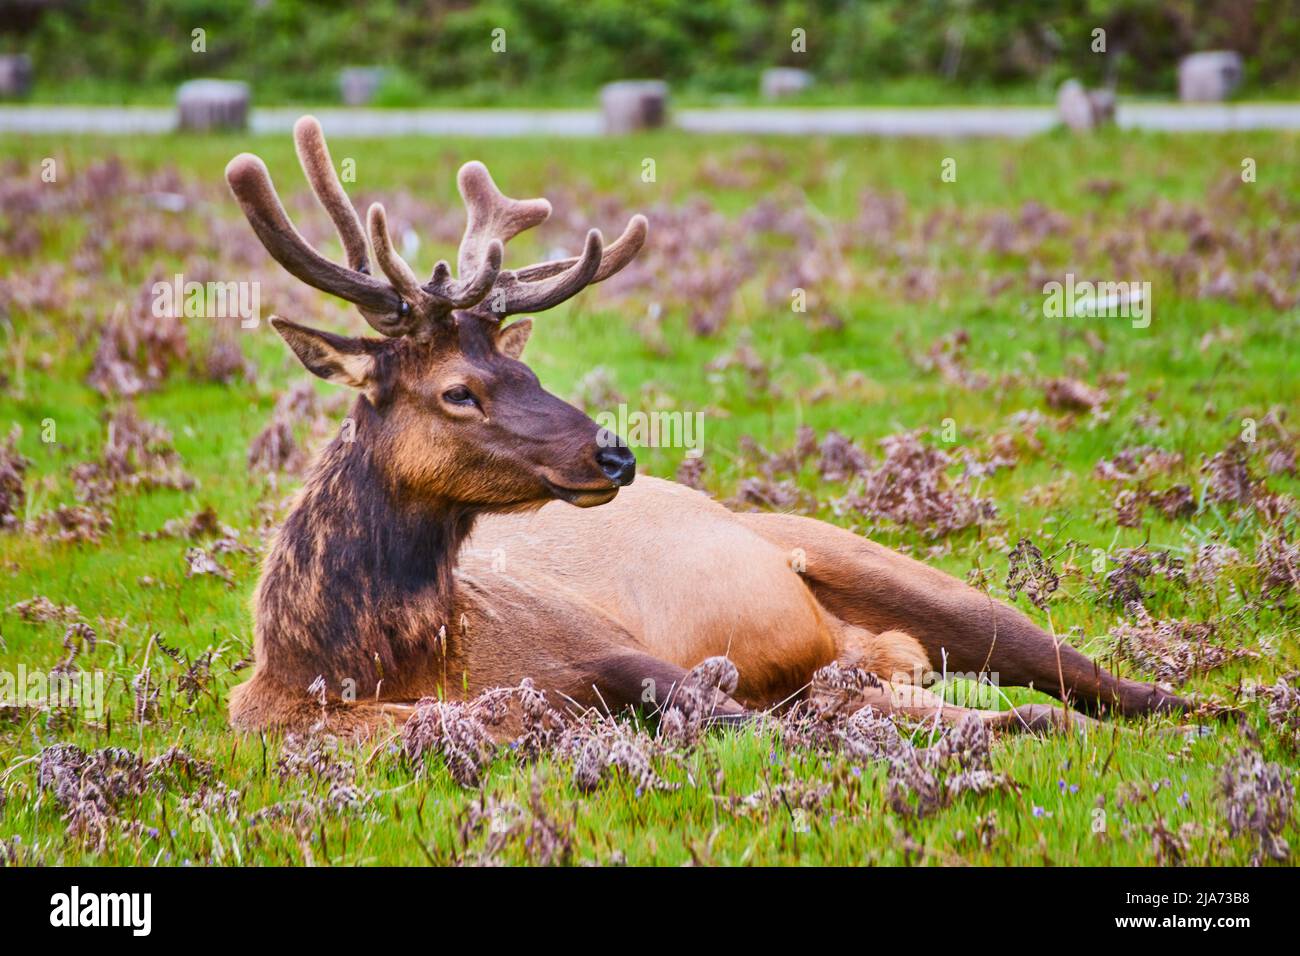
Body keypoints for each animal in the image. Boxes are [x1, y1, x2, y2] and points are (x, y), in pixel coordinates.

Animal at [223, 115, 1190, 738]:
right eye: (460, 391)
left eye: (527, 370)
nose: (614, 453)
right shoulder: (272, 718)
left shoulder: (609, 645)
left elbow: (735, 719)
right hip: (860, 656)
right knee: (913, 692)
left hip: (884, 564)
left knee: (1084, 677)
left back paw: (1195, 707)